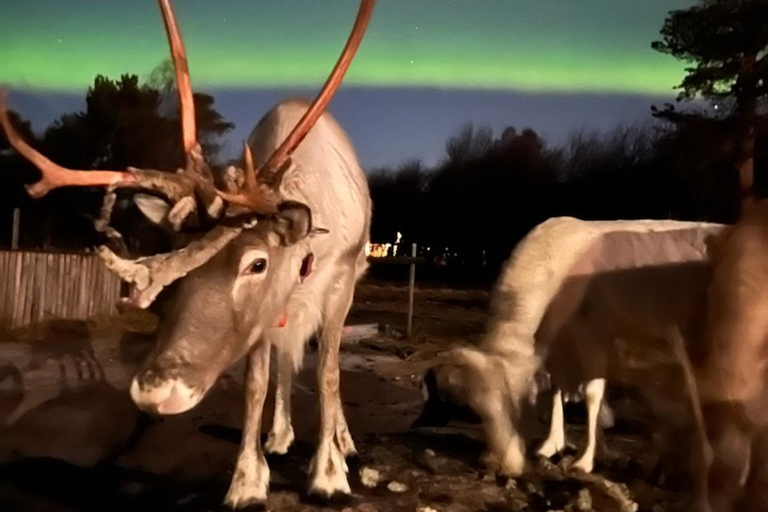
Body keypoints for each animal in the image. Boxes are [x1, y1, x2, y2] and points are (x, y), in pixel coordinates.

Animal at [0, 0, 376, 507]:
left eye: (257, 262)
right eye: (178, 259)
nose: (155, 391)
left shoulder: (336, 286)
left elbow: (329, 377)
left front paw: (330, 475)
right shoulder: (267, 316)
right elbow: (256, 384)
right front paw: (246, 481)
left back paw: (344, 443)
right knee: (284, 364)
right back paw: (279, 437)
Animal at [417, 216, 722, 492]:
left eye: (518, 402)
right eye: (478, 410)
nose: (505, 467)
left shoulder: (594, 336)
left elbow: (592, 395)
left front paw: (584, 460)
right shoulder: (560, 343)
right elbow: (557, 388)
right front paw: (554, 444)